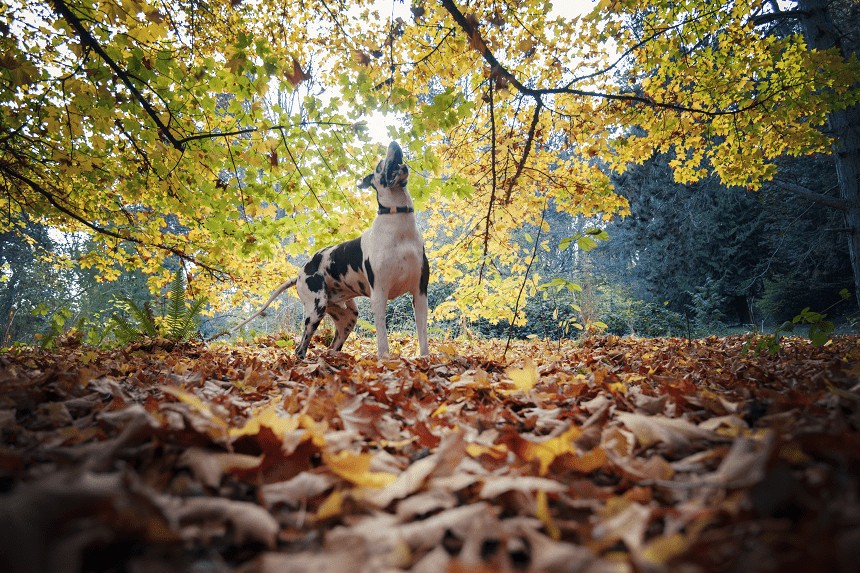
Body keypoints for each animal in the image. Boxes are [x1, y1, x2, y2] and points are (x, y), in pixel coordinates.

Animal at [232, 142, 430, 358]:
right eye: (379, 165)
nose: (394, 143)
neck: (398, 222)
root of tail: (299, 274)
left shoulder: (420, 294)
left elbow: (423, 338)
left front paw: (425, 361)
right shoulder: (379, 295)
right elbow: (382, 341)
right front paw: (385, 360)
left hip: (348, 317)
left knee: (332, 347)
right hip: (315, 309)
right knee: (300, 349)